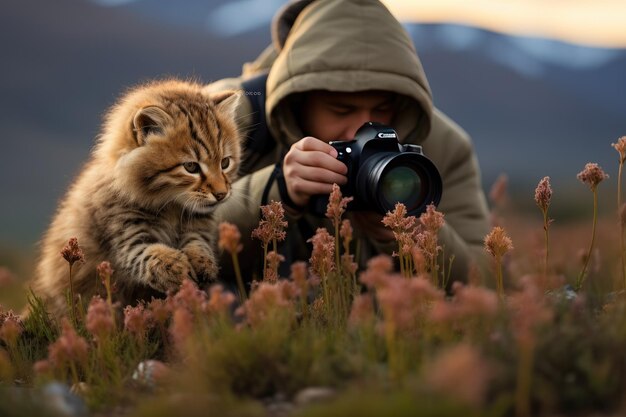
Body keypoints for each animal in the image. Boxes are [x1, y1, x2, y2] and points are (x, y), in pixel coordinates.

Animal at [31, 79, 241, 316]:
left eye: (225, 163)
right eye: (191, 167)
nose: (221, 194)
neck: (172, 207)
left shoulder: (198, 225)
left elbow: (198, 242)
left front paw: (202, 263)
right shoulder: (125, 235)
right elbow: (149, 255)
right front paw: (176, 269)